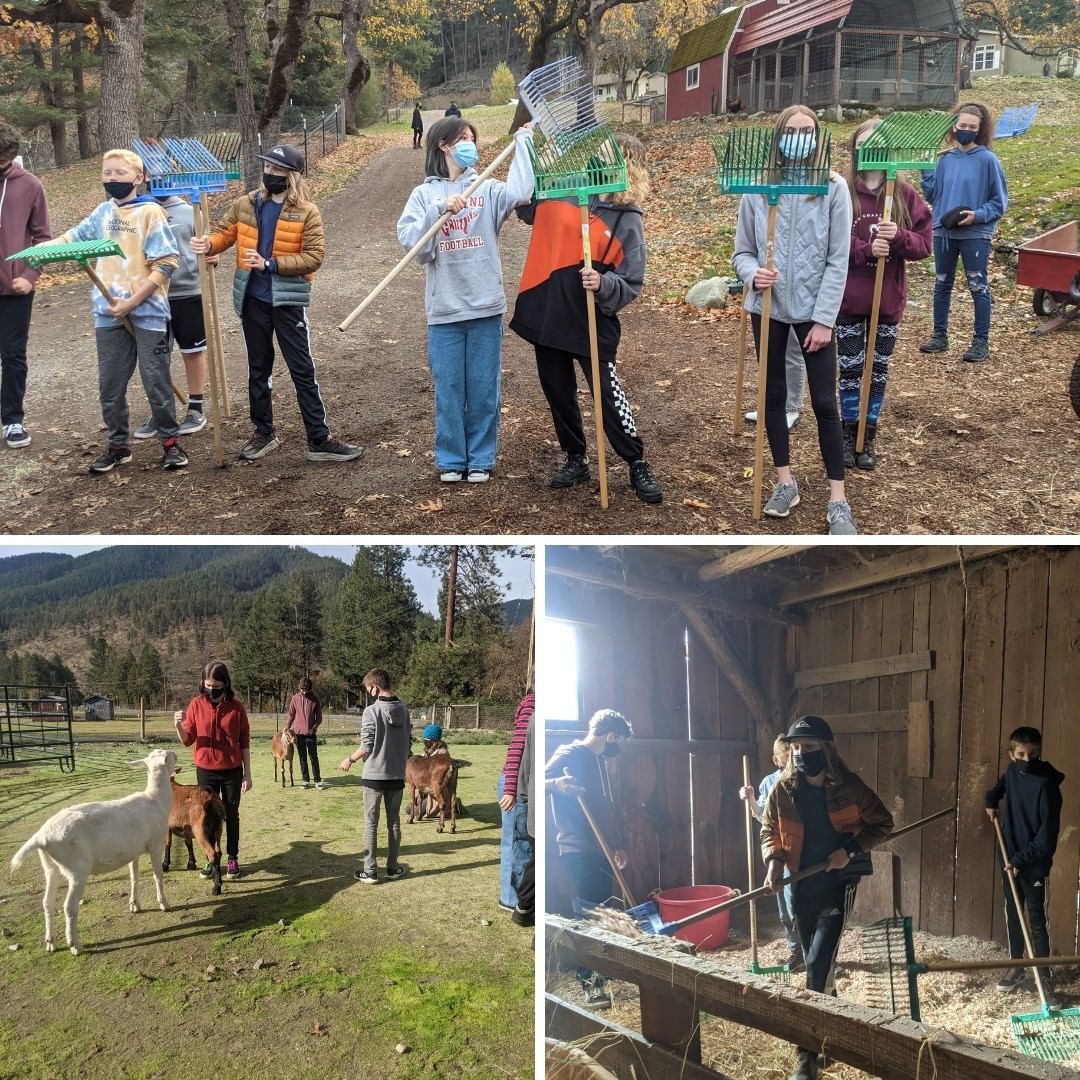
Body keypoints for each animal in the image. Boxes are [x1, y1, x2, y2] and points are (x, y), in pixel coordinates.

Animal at [8, 751, 177, 954]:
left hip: (50, 866)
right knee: (69, 907)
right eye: (167, 755)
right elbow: (157, 875)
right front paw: (164, 904)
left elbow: (134, 877)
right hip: (77, 869)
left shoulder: (133, 852)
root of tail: (40, 837)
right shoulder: (156, 845)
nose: (176, 753)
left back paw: (50, 942)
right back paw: (75, 945)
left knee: (47, 902)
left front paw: (135, 905)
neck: (156, 799)